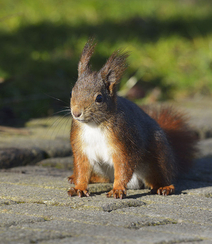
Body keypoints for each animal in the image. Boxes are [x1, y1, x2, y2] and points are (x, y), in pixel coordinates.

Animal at [67, 39, 197, 198]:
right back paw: (77, 178)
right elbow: (82, 169)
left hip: (157, 158)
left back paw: (164, 187)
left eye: (99, 98)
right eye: (71, 93)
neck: (94, 125)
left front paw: (117, 190)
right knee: (102, 177)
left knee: (159, 175)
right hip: (100, 167)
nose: (76, 113)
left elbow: (123, 167)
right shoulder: (81, 147)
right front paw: (79, 187)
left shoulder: (123, 143)